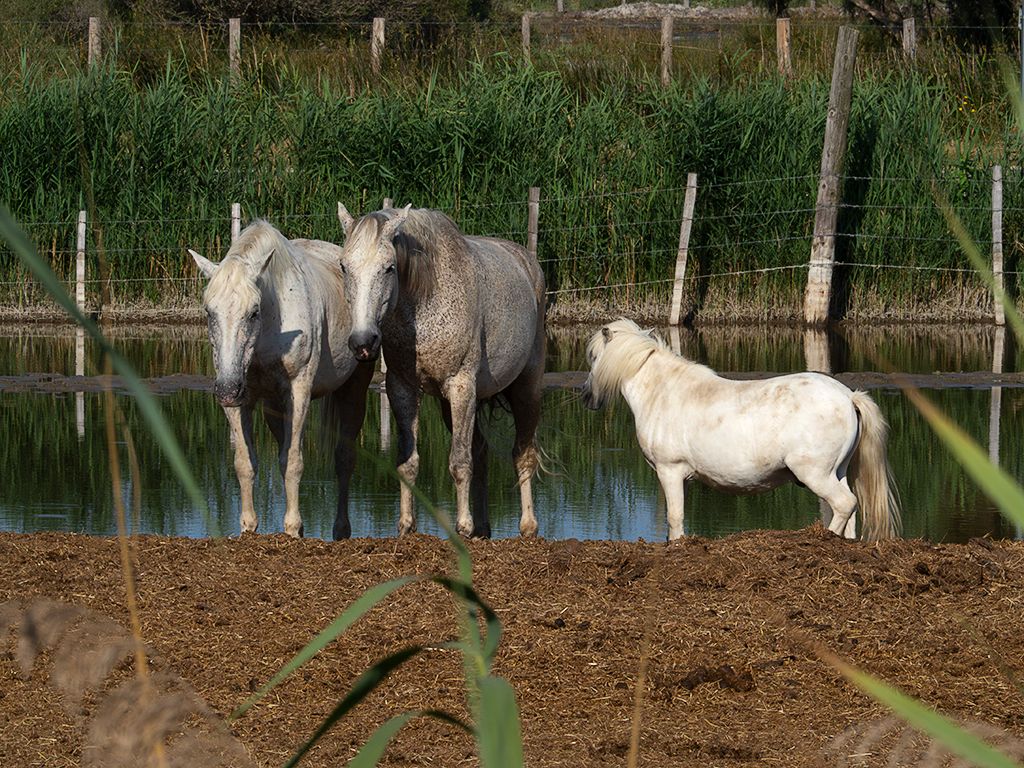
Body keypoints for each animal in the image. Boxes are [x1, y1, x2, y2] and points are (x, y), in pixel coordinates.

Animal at [189, 220, 373, 540]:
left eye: (253, 312)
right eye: (209, 312)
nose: (226, 390)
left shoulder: (298, 392)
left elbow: (294, 461)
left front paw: (292, 528)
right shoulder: (242, 399)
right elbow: (246, 462)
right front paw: (248, 527)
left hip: (355, 388)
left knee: (344, 459)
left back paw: (341, 530)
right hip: (273, 406)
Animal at [334, 204, 546, 539]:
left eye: (389, 268)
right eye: (344, 266)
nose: (363, 342)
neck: (425, 302)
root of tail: (529, 264)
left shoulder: (461, 387)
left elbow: (459, 461)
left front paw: (462, 526)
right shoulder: (402, 390)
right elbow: (408, 461)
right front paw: (406, 526)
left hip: (526, 388)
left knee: (523, 453)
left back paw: (527, 526)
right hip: (452, 404)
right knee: (481, 452)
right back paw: (483, 528)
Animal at [581, 319, 901, 542]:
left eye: (594, 358)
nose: (586, 397)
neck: (663, 391)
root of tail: (848, 396)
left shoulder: (669, 470)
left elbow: (675, 519)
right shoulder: (682, 477)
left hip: (815, 473)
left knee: (844, 504)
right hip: (839, 471)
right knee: (850, 513)